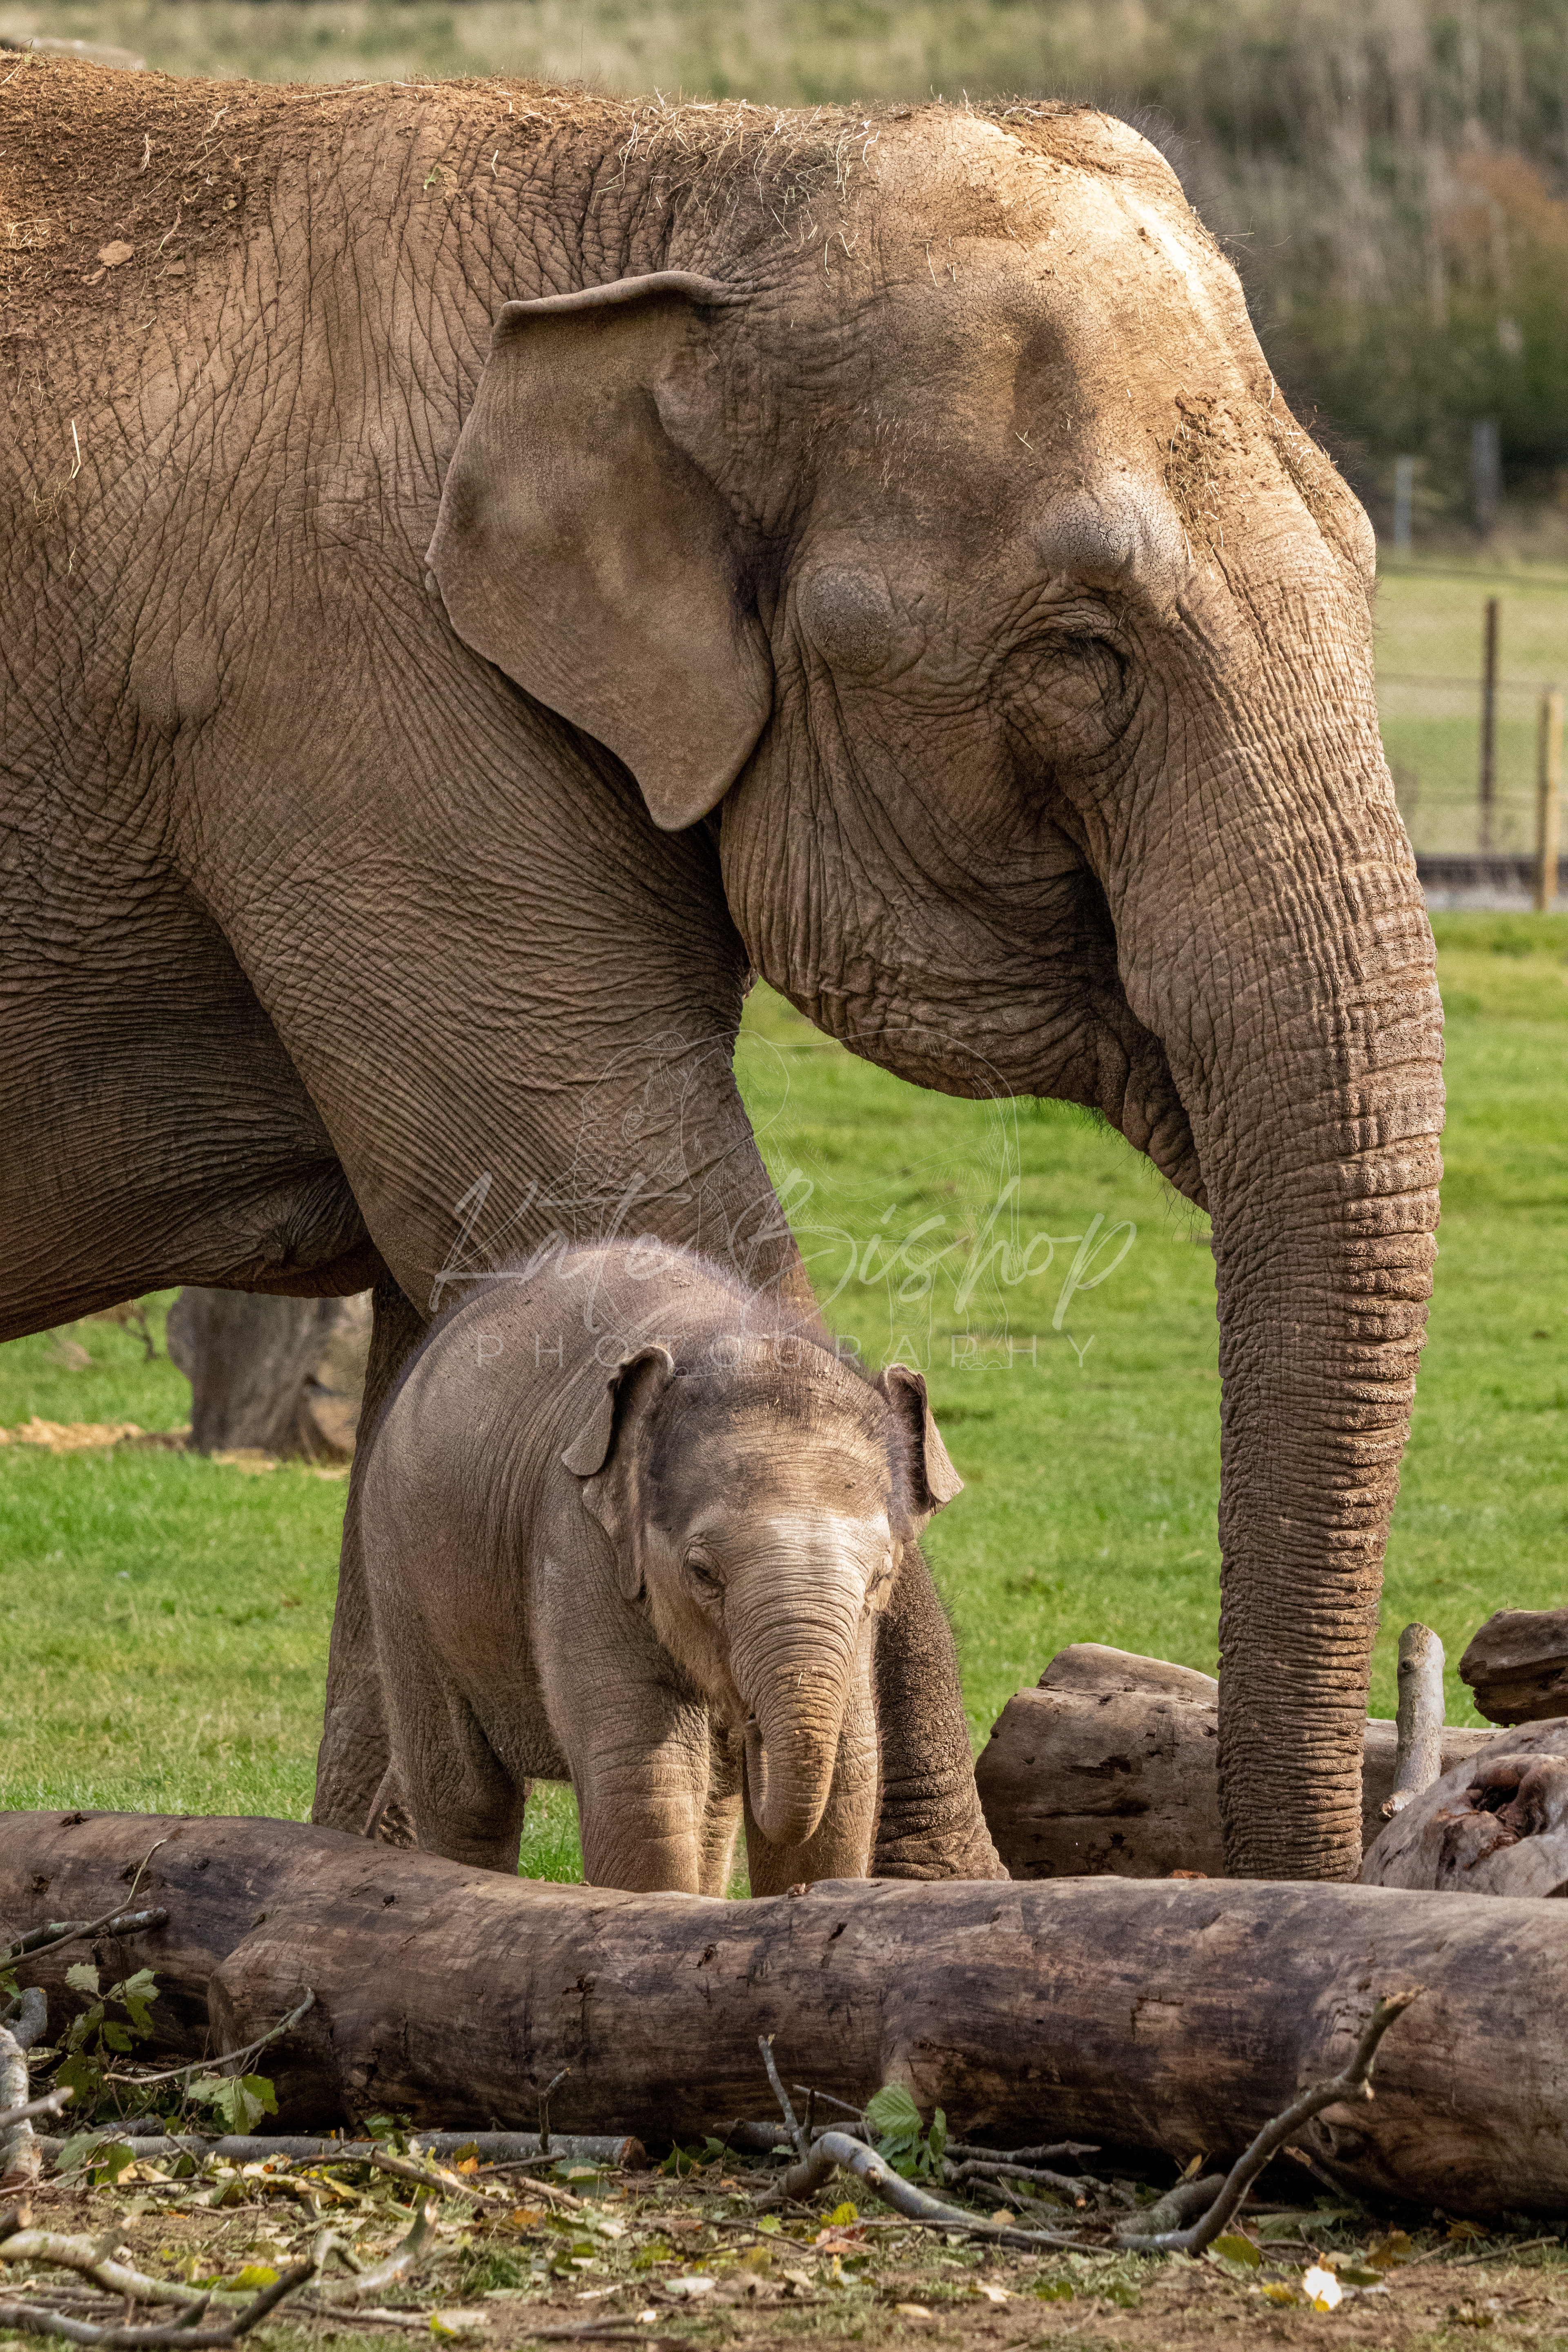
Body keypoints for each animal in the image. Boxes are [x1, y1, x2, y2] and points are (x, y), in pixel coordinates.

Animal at [358, 1241, 962, 1892]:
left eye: (882, 1577)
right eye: (702, 1573)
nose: (749, 1725)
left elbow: (850, 1778)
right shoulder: (578, 1541)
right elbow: (645, 1779)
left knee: (716, 1805)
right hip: (398, 1572)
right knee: (466, 1796)